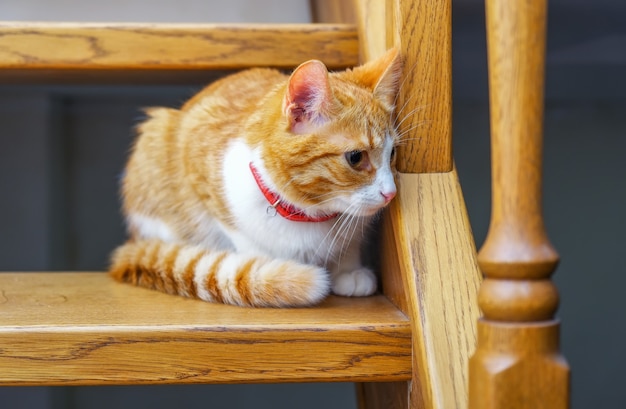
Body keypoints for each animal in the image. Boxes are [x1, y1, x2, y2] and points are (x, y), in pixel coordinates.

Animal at [109, 47, 402, 306]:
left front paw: (348, 270)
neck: (306, 213)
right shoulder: (201, 169)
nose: (391, 193)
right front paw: (267, 271)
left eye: (392, 154)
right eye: (356, 157)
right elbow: (248, 242)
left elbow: (350, 243)